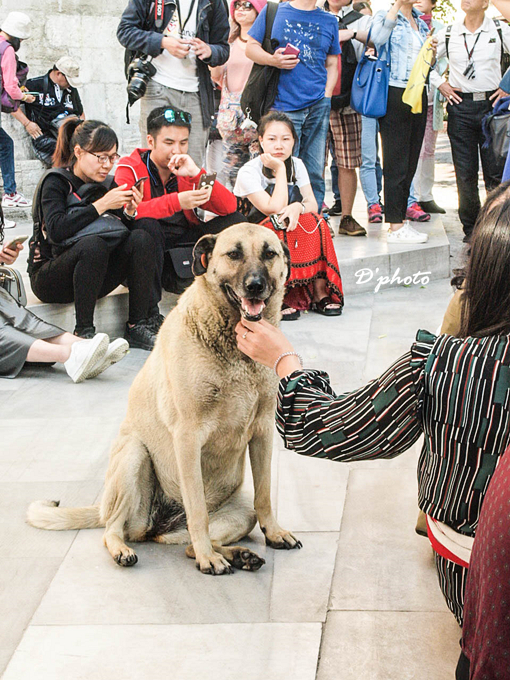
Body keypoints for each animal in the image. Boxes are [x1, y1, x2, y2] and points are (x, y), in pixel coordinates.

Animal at [25, 223, 300, 572]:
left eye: (269, 254)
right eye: (234, 254)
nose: (255, 286)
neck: (234, 348)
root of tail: (159, 524)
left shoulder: (263, 433)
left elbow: (263, 495)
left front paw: (274, 532)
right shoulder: (189, 438)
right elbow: (197, 508)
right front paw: (209, 558)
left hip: (241, 513)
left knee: (191, 545)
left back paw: (239, 554)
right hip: (134, 456)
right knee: (116, 530)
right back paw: (133, 550)